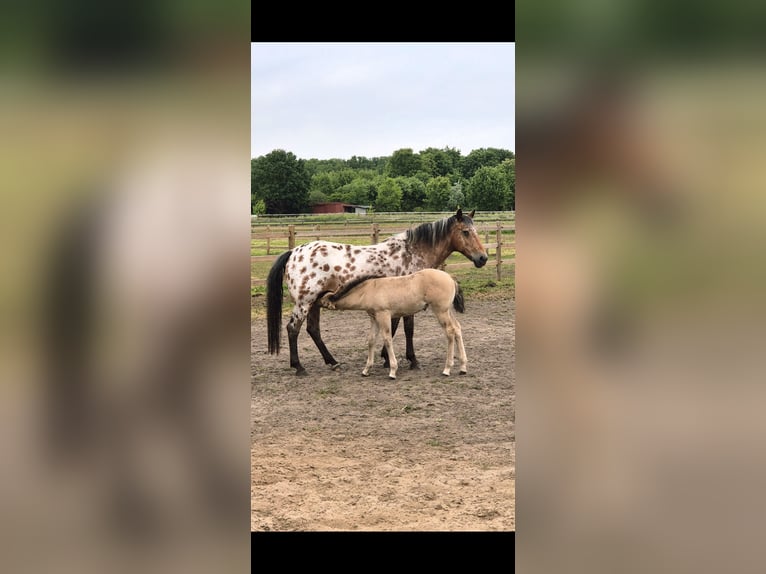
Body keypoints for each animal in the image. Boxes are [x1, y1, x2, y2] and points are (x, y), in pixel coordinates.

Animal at [318, 269, 467, 379]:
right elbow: (371, 340)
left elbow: (387, 339)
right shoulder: (374, 318)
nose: (315, 305)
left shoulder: (383, 315)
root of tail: (450, 278)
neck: (369, 290)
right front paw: (366, 370)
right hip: (447, 311)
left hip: (440, 311)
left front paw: (392, 371)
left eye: (322, 301)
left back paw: (447, 369)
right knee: (457, 328)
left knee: (450, 332)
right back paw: (463, 367)